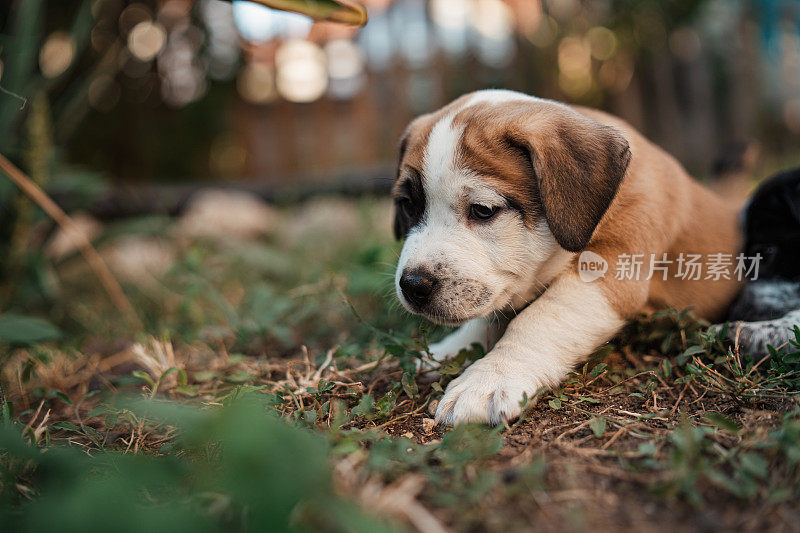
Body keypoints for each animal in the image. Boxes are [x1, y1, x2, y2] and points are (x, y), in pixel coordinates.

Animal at [390, 89, 740, 426]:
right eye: (407, 205)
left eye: (483, 210)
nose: (413, 285)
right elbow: (488, 319)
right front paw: (448, 351)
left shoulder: (610, 270)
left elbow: (541, 318)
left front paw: (491, 378)